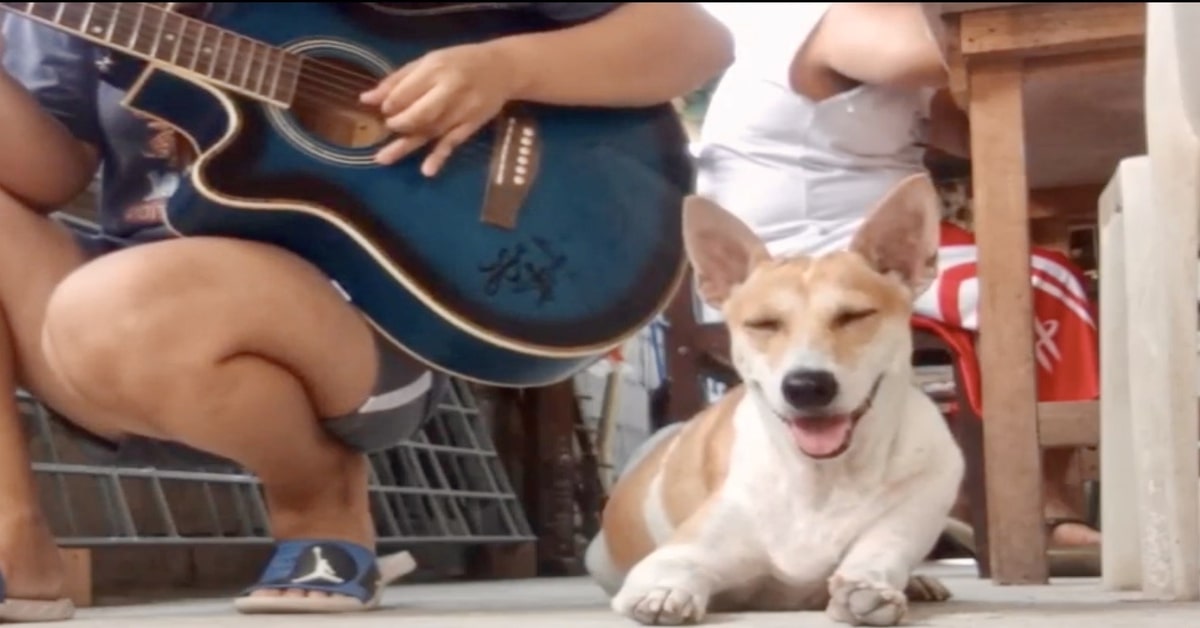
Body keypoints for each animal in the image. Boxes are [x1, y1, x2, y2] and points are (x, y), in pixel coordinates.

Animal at [585, 174, 969, 624]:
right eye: (763, 324)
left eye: (854, 316)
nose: (806, 386)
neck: (823, 478)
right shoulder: (677, 554)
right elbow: (672, 572)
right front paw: (664, 595)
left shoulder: (907, 515)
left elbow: (876, 560)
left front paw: (868, 589)